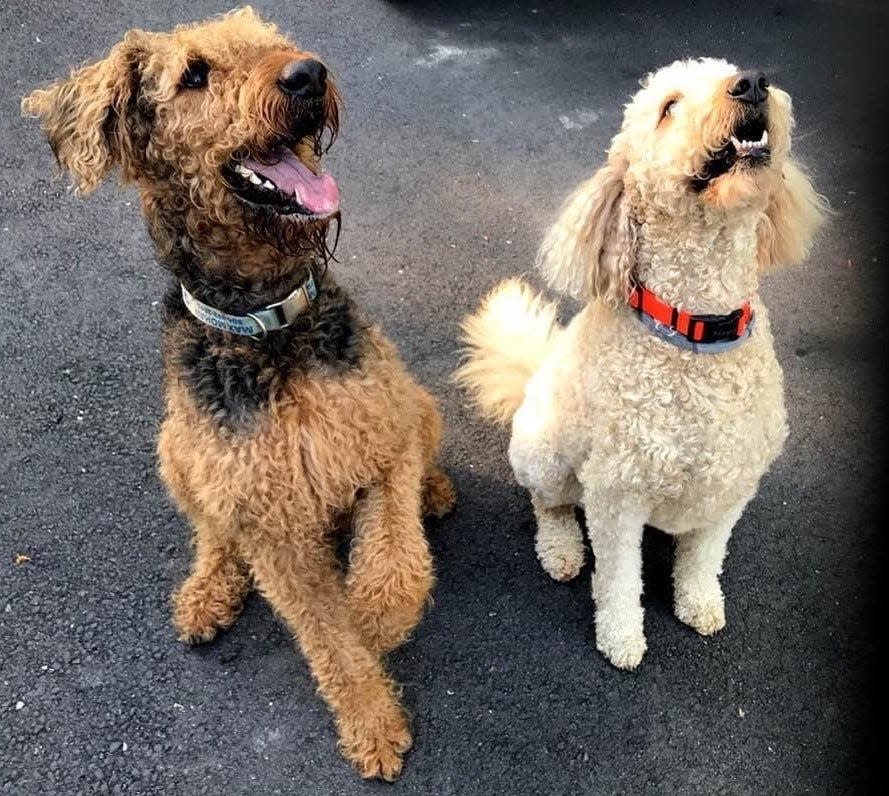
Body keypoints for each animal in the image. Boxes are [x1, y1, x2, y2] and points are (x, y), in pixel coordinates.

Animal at [22, 4, 450, 776]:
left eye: (268, 39)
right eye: (194, 75)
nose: (307, 74)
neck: (266, 325)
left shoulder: (387, 436)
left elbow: (394, 564)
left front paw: (377, 617)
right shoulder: (271, 528)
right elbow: (329, 640)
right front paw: (372, 724)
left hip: (418, 406)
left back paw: (435, 494)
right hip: (176, 450)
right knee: (214, 533)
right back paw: (205, 595)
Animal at [458, 56, 824, 668]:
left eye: (732, 71)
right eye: (669, 107)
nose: (751, 83)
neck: (696, 329)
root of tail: (535, 378)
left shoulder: (731, 489)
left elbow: (704, 558)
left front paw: (698, 603)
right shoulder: (616, 496)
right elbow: (618, 580)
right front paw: (622, 639)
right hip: (545, 457)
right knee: (549, 505)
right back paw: (561, 549)